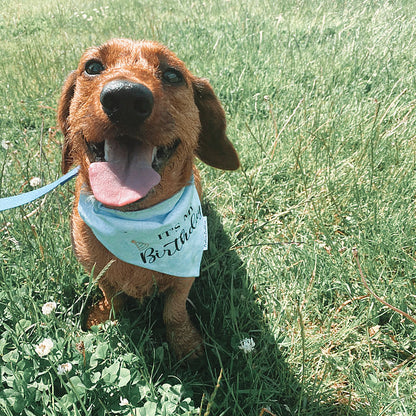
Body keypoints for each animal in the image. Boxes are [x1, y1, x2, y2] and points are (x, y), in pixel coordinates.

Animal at [59, 37, 240, 360]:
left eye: (172, 74)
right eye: (92, 67)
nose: (124, 98)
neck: (134, 221)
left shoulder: (184, 278)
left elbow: (174, 311)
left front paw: (185, 344)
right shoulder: (98, 272)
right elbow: (113, 297)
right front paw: (106, 316)